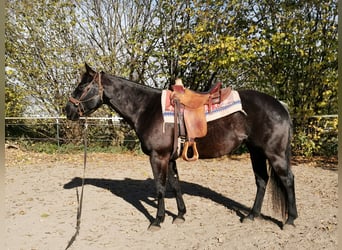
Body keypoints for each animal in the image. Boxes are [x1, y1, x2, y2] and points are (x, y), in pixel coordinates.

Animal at [64, 63, 296, 230]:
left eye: (81, 87)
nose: (68, 110)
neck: (146, 108)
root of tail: (280, 105)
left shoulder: (158, 157)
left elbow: (159, 187)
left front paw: (157, 220)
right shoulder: (170, 158)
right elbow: (175, 185)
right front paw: (181, 215)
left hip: (274, 153)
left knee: (287, 180)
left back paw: (290, 220)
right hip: (256, 152)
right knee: (262, 180)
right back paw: (251, 216)